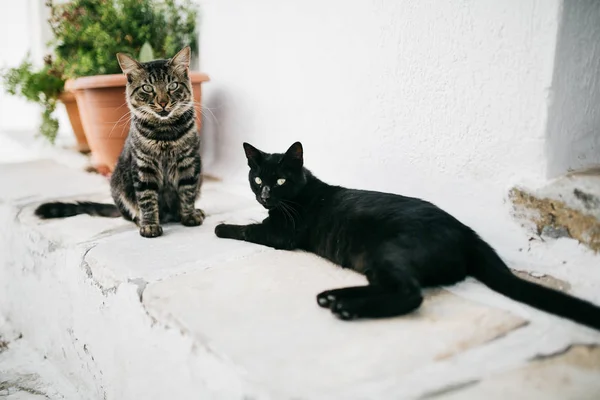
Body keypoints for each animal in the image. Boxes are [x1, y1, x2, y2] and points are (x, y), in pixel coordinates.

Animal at [35, 47, 204, 238]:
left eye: (173, 85)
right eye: (147, 88)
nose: (162, 103)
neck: (165, 134)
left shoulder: (189, 162)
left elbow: (187, 192)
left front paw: (189, 215)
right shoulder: (143, 167)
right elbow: (147, 200)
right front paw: (150, 225)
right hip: (118, 184)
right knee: (131, 213)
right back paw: (141, 220)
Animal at [214, 142, 600, 330]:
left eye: (280, 180)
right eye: (258, 180)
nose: (265, 196)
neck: (298, 196)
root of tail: (468, 233)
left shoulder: (280, 234)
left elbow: (247, 228)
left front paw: (220, 227)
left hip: (389, 249)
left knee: (410, 293)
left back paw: (346, 308)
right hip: (375, 260)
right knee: (390, 286)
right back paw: (334, 298)